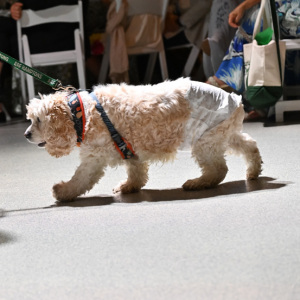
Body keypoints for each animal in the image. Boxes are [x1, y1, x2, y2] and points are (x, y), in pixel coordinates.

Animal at [24, 77, 262, 202]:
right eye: (30, 119)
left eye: (38, 120)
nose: (26, 134)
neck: (82, 113)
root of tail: (235, 99)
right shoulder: (129, 150)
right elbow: (136, 173)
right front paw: (129, 187)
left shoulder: (93, 159)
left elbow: (80, 179)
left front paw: (63, 191)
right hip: (221, 134)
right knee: (249, 145)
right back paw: (253, 171)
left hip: (205, 141)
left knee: (218, 169)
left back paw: (198, 183)